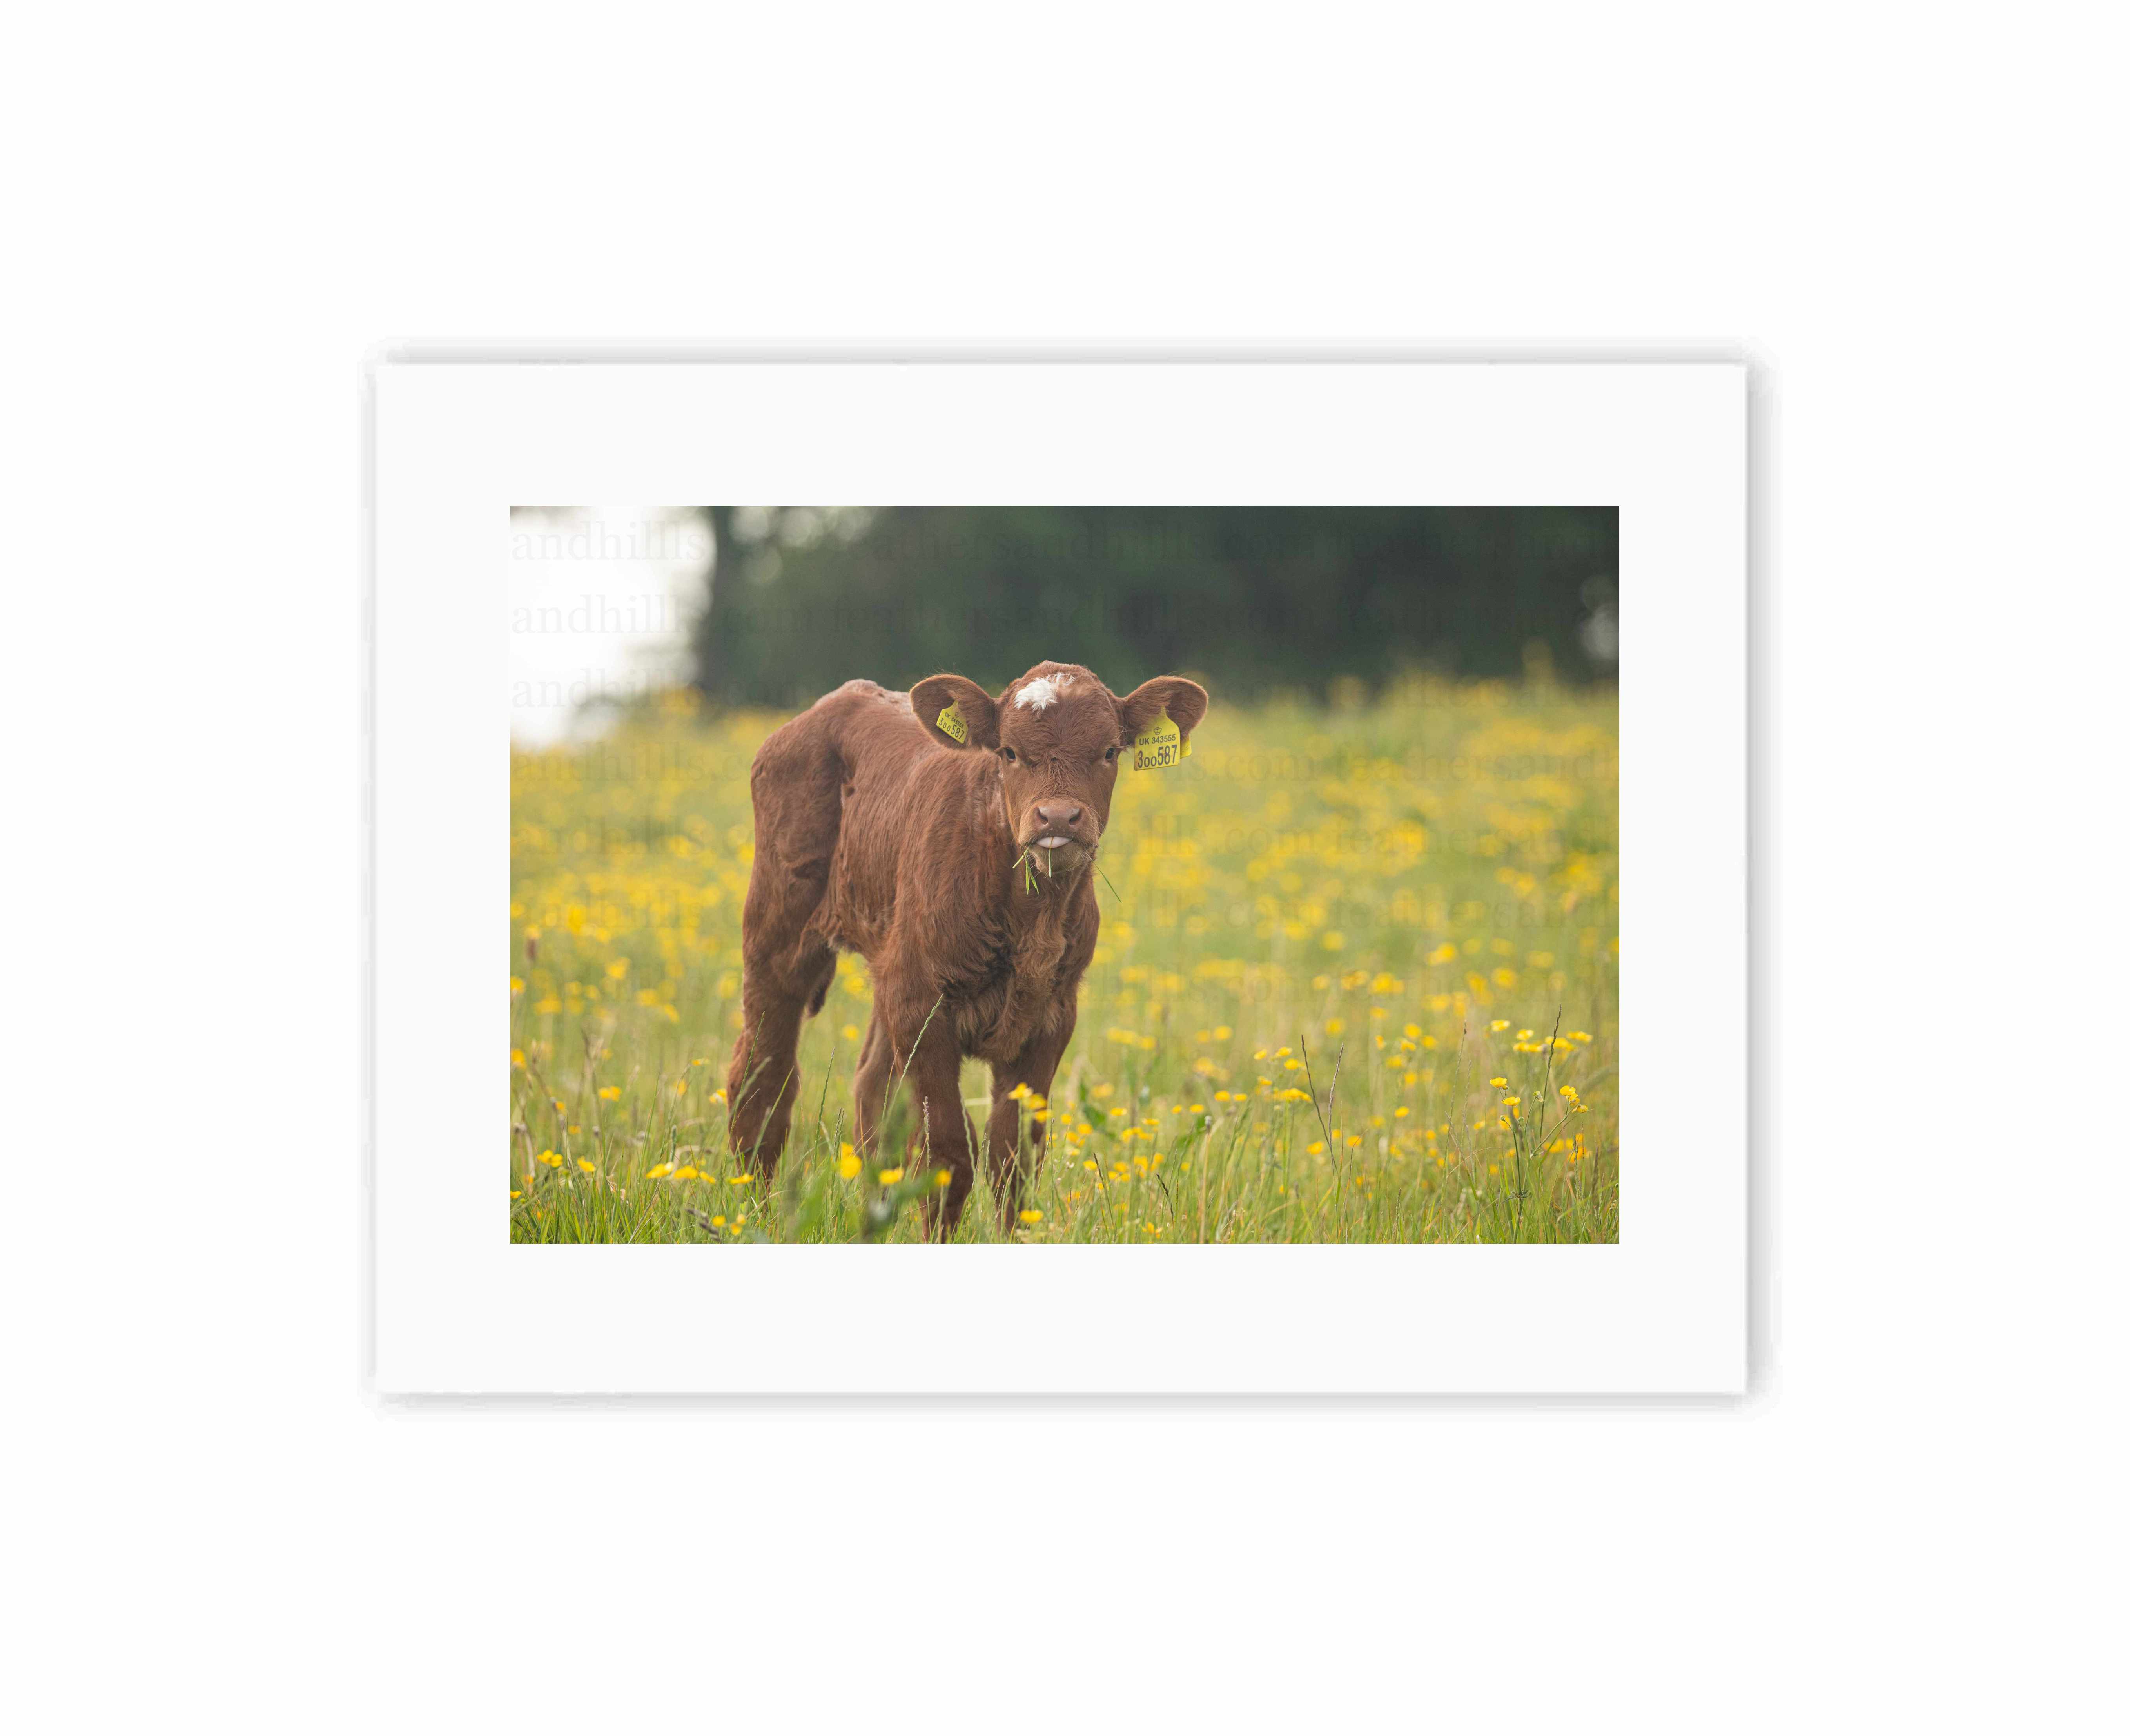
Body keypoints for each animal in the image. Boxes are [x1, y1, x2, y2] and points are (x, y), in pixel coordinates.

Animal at [724, 661, 1209, 1237]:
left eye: (1110, 751)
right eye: (1008, 752)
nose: (1057, 818)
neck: (1030, 917)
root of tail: (833, 702)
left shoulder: (1051, 1016)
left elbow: (1014, 1156)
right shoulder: (923, 1007)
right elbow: (948, 1154)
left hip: (890, 963)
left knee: (871, 1094)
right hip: (777, 936)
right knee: (762, 1081)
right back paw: (754, 1214)